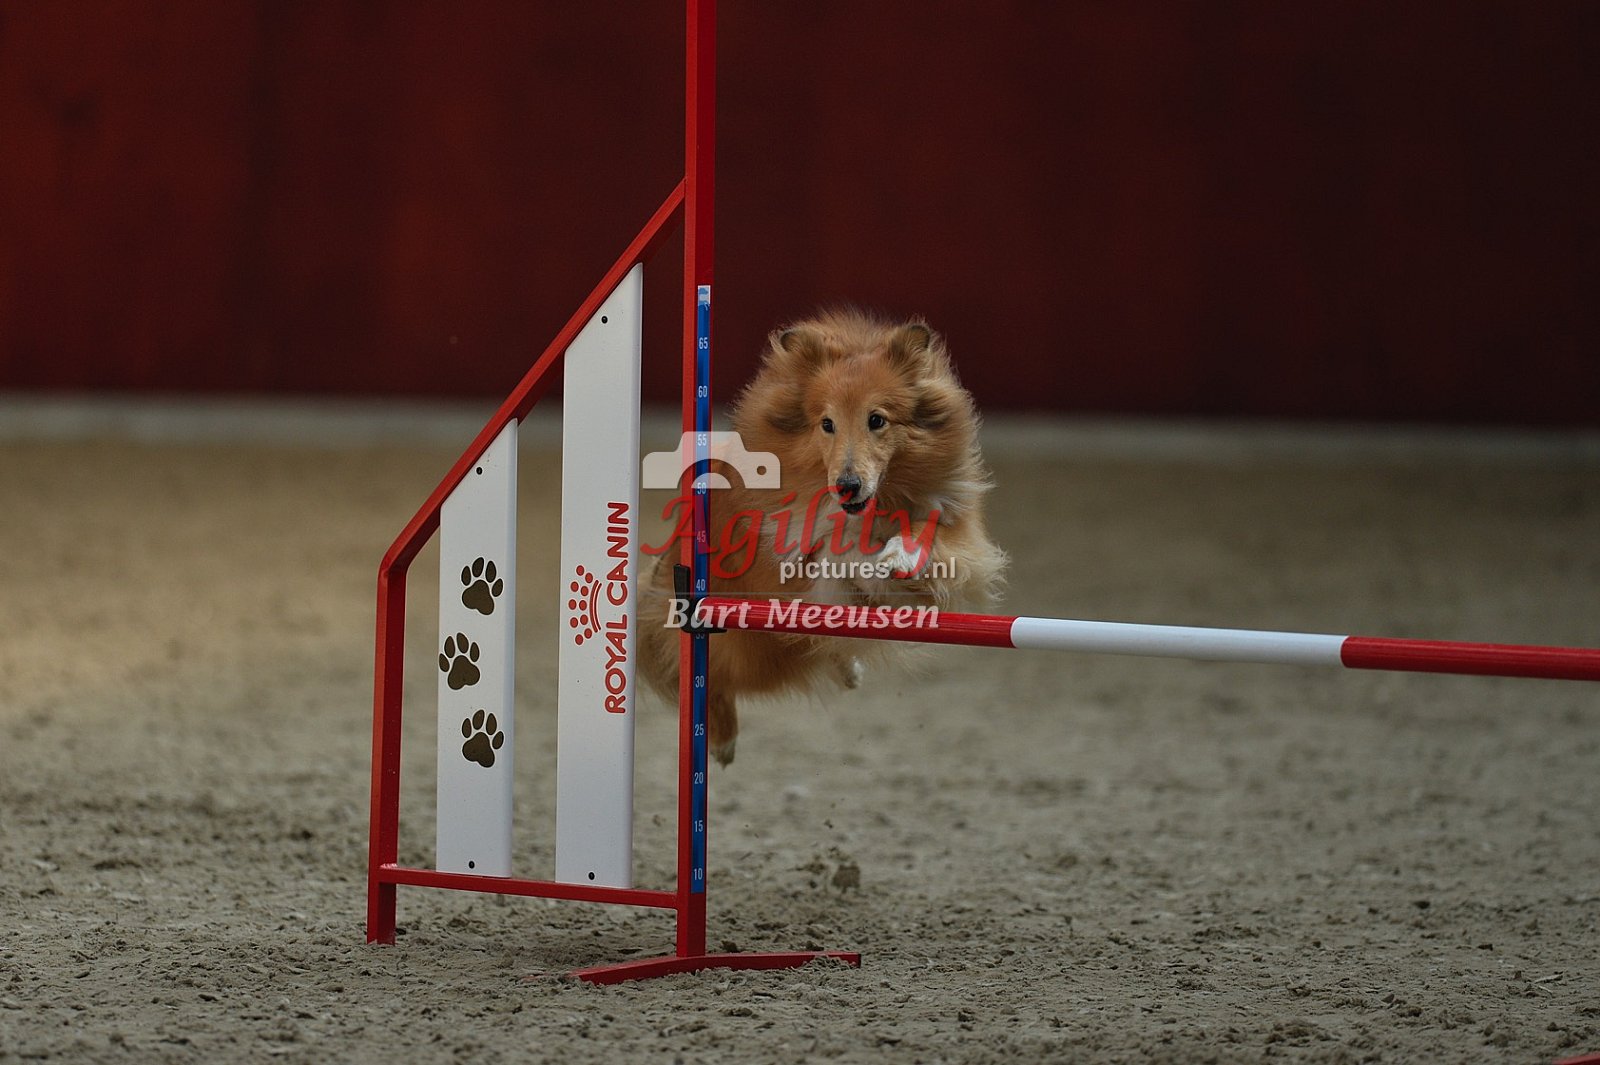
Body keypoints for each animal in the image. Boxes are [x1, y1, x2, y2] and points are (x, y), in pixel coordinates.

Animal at [640, 309, 1007, 765]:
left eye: (877, 419)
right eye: (826, 423)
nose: (847, 486)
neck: (878, 503)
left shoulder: (954, 518)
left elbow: (929, 533)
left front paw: (900, 557)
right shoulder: (797, 555)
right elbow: (838, 553)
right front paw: (873, 563)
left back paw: (848, 669)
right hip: (746, 638)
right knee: (707, 674)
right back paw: (722, 740)